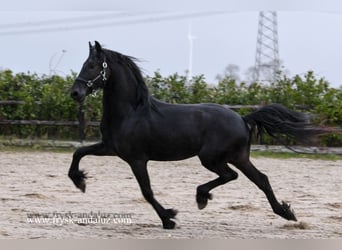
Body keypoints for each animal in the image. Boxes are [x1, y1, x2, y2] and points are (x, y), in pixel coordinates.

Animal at [68, 42, 324, 229]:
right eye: (84, 64)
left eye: (92, 66)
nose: (75, 93)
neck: (132, 112)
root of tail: (243, 119)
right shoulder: (109, 148)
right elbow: (78, 152)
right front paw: (80, 181)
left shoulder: (137, 159)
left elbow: (147, 191)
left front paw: (169, 218)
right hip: (238, 157)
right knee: (261, 179)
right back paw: (286, 213)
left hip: (211, 158)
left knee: (231, 176)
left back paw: (202, 197)